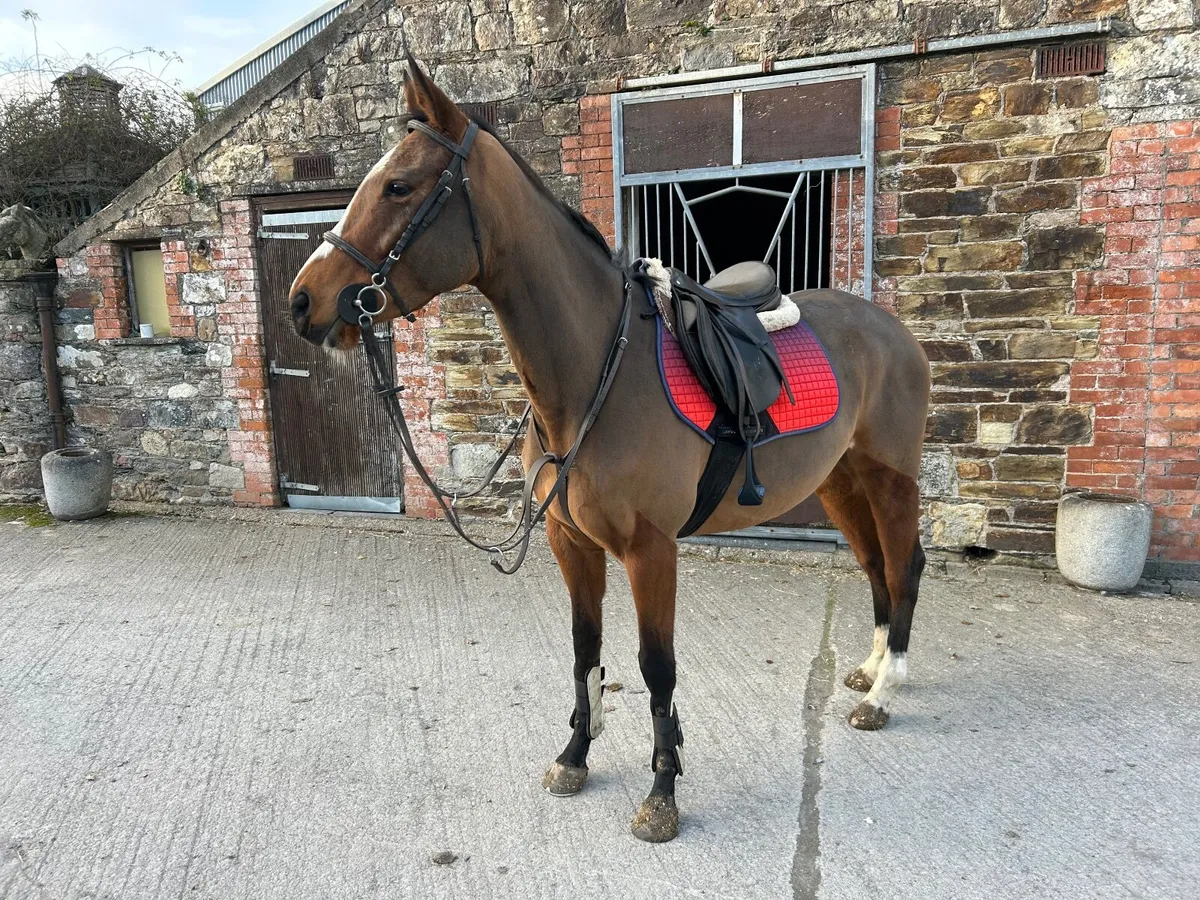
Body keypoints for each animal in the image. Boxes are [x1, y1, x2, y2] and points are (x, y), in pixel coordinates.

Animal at [288, 57, 931, 843]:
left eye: (400, 186)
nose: (303, 302)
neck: (595, 372)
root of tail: (890, 327)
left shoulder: (651, 551)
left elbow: (657, 668)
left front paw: (662, 792)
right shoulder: (571, 543)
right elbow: (584, 648)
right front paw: (575, 755)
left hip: (891, 480)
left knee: (903, 567)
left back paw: (884, 693)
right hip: (839, 481)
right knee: (874, 568)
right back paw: (870, 671)